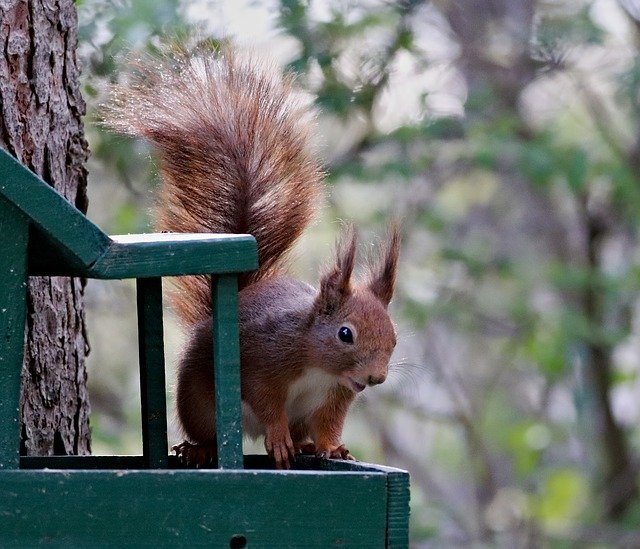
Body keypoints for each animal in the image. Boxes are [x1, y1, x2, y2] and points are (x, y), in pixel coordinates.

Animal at [104, 45, 400, 468]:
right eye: (346, 334)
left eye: (394, 339)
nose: (377, 378)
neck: (318, 366)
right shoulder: (262, 363)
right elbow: (267, 404)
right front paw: (278, 438)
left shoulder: (335, 397)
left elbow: (328, 424)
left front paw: (332, 447)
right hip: (200, 403)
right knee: (211, 430)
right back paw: (203, 448)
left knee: (302, 430)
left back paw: (304, 446)